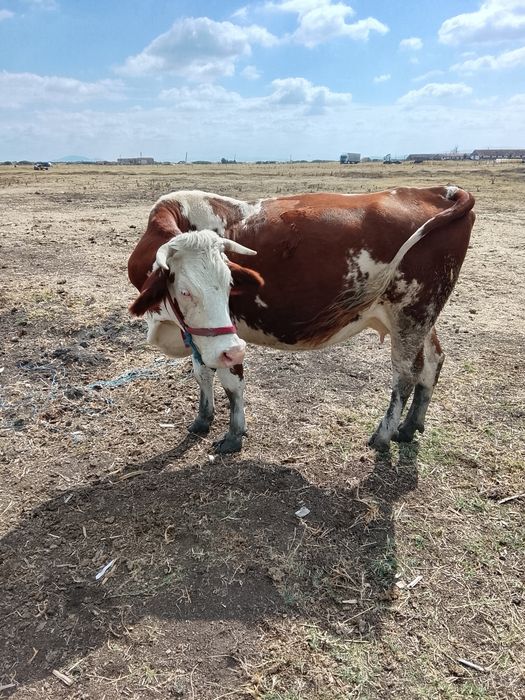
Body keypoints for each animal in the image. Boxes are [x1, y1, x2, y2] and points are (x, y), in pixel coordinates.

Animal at [128, 186, 475, 454]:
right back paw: (410, 426)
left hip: (410, 312)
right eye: (184, 291)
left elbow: (231, 382)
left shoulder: (228, 337)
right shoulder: (202, 335)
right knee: (432, 362)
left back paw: (384, 433)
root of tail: (438, 191)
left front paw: (233, 435)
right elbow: (202, 373)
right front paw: (203, 419)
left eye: (230, 284)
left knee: (404, 376)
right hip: (421, 316)